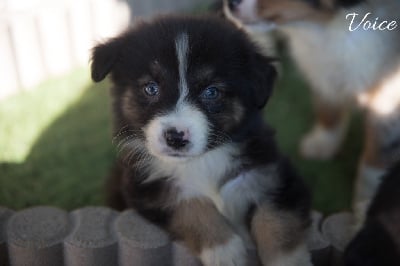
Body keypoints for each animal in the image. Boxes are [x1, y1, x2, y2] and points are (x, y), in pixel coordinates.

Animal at [91, 16, 312, 266]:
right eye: (151, 88)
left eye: (211, 92)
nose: (175, 137)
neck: (204, 160)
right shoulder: (145, 187)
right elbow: (189, 206)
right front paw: (224, 250)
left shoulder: (272, 174)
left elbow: (276, 219)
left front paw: (288, 259)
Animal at [223, 0, 400, 223]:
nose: (230, 3)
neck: (328, 28)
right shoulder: (321, 71)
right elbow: (327, 108)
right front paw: (322, 144)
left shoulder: (388, 99)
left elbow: (375, 156)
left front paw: (365, 205)